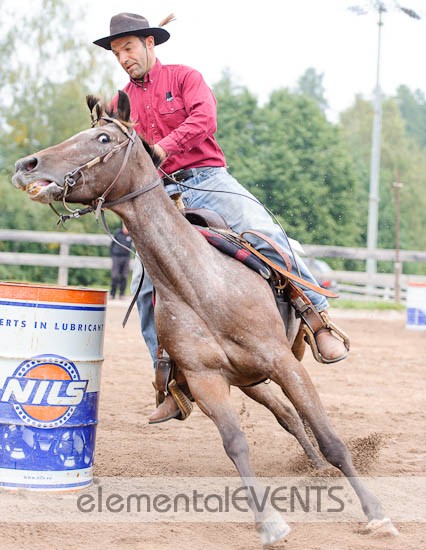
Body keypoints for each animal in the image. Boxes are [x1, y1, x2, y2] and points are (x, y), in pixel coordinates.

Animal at [12, 91, 398, 546]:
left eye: (102, 138)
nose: (26, 164)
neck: (201, 285)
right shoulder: (206, 379)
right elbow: (236, 444)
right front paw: (269, 523)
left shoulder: (282, 362)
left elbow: (332, 438)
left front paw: (377, 514)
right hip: (249, 381)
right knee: (286, 415)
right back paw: (316, 468)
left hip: (274, 367)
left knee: (302, 414)